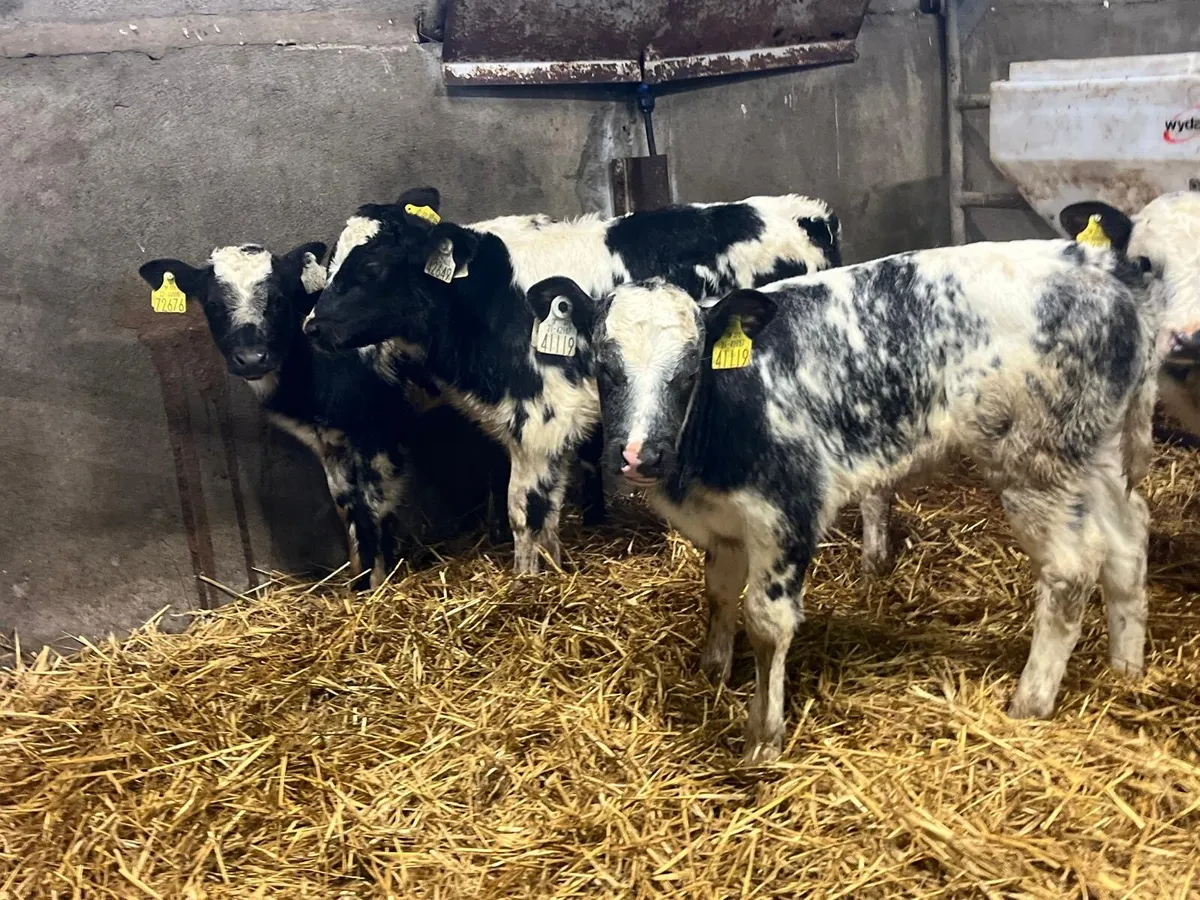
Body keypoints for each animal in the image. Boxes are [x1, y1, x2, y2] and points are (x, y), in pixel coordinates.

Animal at [138, 241, 508, 589]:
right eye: (212, 305)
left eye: (279, 300)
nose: (252, 358)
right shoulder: (330, 443)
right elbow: (346, 507)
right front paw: (358, 583)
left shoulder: (378, 431)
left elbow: (374, 508)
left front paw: (378, 585)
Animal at [303, 186, 842, 574]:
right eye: (329, 265)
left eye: (371, 266)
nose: (312, 326)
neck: (487, 298)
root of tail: (811, 212)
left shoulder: (540, 421)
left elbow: (526, 512)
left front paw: (529, 585)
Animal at [536, 238, 1163, 763]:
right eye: (603, 366)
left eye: (690, 369)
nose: (639, 456)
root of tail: (1098, 265)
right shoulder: (725, 523)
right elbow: (717, 594)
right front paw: (713, 671)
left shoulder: (787, 510)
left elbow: (766, 622)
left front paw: (763, 735)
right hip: (1094, 455)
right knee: (1127, 541)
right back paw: (1126, 670)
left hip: (1036, 464)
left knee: (1071, 570)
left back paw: (1029, 702)